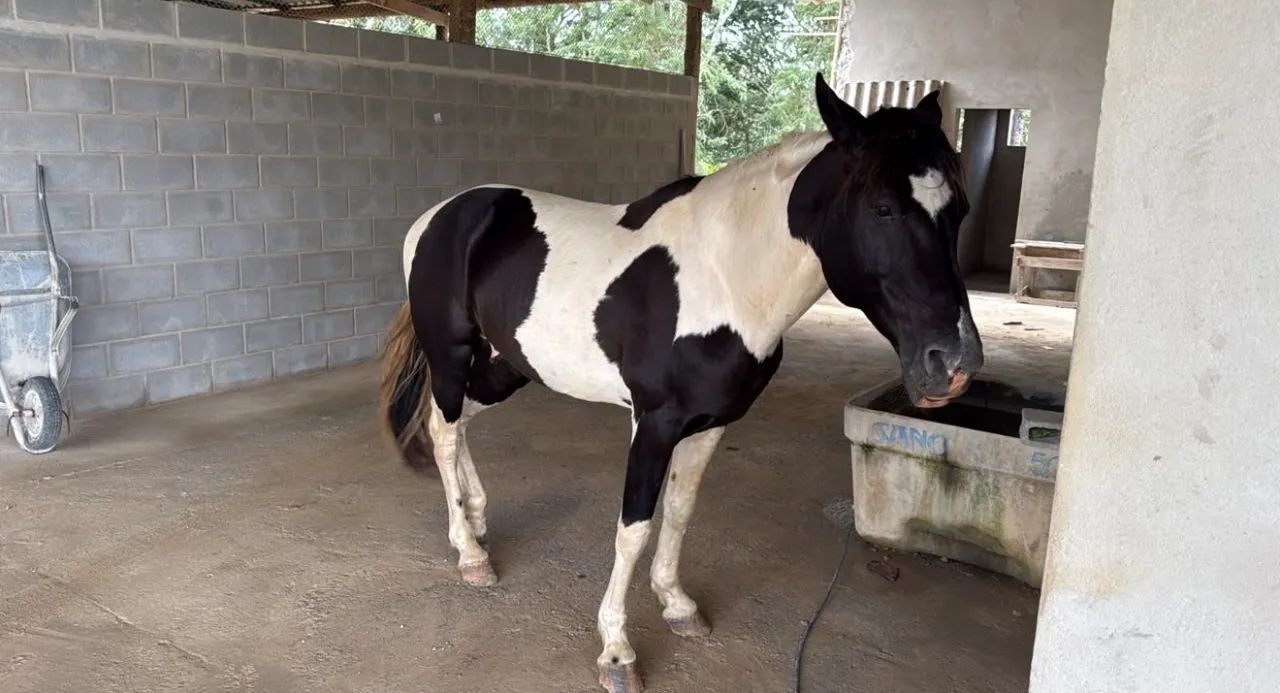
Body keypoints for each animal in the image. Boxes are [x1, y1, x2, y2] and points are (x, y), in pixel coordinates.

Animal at [379, 73, 982, 692]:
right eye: (883, 208)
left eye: (958, 209)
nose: (953, 363)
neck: (725, 276)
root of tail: (439, 215)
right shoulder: (654, 423)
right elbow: (634, 528)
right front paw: (617, 651)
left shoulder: (711, 423)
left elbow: (680, 511)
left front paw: (677, 604)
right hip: (452, 357)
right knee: (443, 431)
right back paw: (470, 553)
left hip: (507, 367)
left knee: (460, 424)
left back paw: (475, 520)